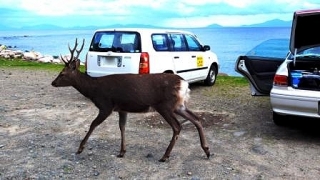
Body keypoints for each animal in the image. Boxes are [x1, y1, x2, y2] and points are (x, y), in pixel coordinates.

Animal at [51, 38, 211, 162]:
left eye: (62, 73)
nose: (53, 83)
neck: (93, 90)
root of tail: (184, 84)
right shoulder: (122, 108)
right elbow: (122, 127)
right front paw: (122, 152)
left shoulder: (106, 105)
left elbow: (93, 124)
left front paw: (80, 148)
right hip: (179, 105)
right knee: (196, 119)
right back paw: (207, 150)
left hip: (165, 105)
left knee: (177, 126)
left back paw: (165, 156)